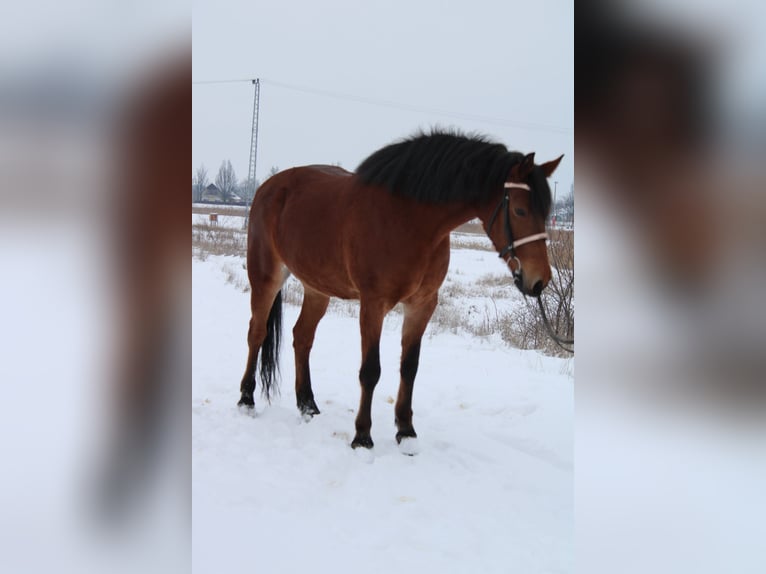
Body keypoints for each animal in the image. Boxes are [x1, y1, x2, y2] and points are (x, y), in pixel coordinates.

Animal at [238, 130, 563, 449]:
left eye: (547, 212)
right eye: (520, 210)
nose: (539, 280)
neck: (408, 221)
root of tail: (269, 187)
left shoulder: (422, 305)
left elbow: (410, 367)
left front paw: (405, 430)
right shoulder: (373, 304)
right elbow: (371, 370)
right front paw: (362, 435)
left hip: (317, 288)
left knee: (302, 338)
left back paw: (307, 405)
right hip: (266, 276)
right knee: (257, 333)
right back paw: (246, 399)